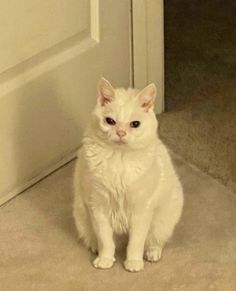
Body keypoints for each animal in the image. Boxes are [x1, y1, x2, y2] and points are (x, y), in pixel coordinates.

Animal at [73, 78, 183, 274]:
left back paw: (152, 253)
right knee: (96, 239)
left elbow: (136, 242)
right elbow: (105, 241)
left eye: (135, 124)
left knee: (153, 241)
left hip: (163, 220)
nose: (121, 133)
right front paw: (105, 259)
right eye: (110, 121)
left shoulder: (142, 210)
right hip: (81, 214)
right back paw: (96, 249)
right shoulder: (98, 207)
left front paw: (133, 262)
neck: (119, 159)